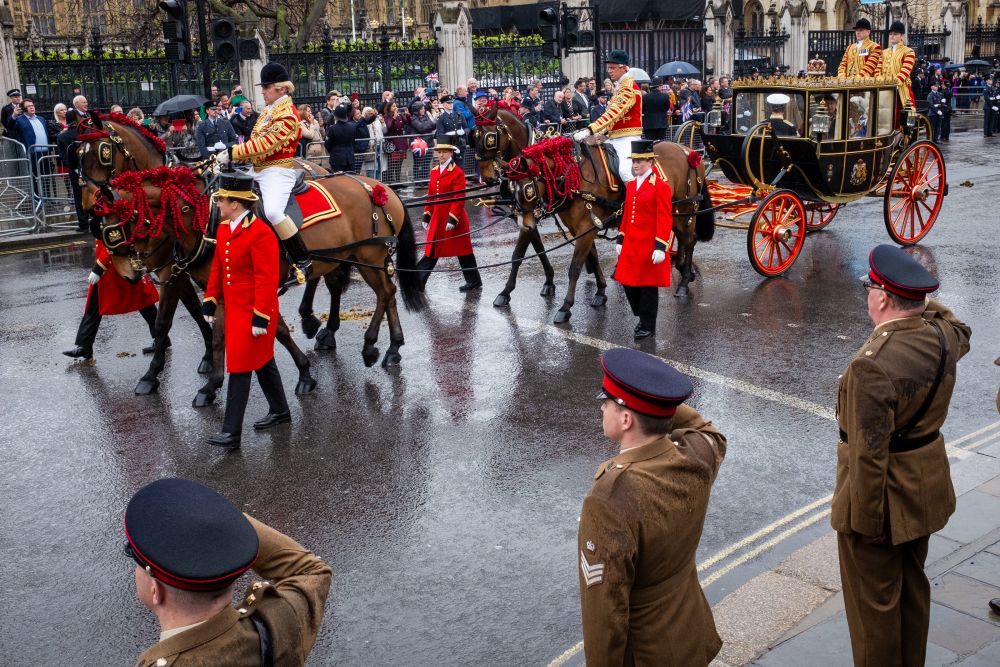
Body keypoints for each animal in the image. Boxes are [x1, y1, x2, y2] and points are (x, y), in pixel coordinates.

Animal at [504, 134, 716, 322]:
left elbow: (575, 268)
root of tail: (688, 151)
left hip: (685, 209)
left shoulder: (585, 228)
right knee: (683, 239)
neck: (575, 176)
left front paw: (565, 307)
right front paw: (600, 292)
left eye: (527, 189)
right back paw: (683, 271)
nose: (524, 224)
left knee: (689, 239)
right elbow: (593, 258)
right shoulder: (582, 229)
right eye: (511, 188)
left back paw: (683, 282)